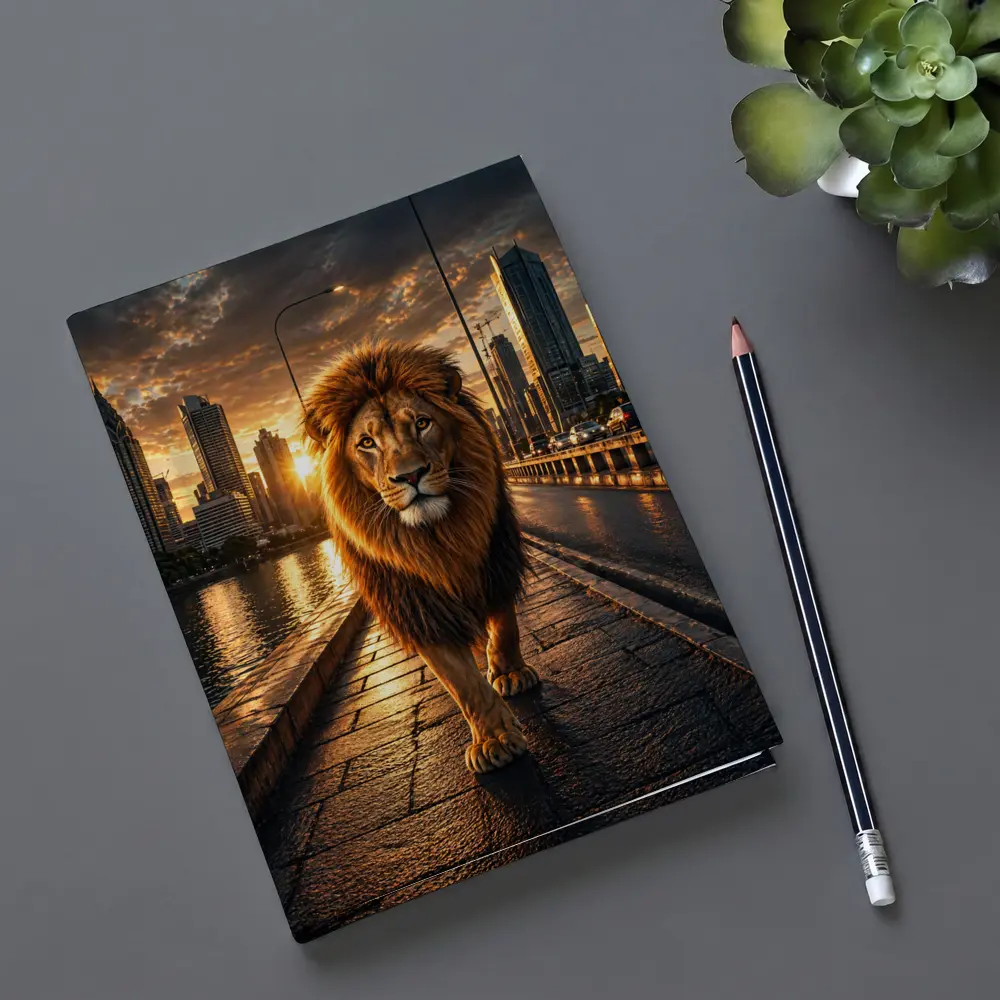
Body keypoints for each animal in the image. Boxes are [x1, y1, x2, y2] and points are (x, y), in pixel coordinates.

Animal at [302, 339, 540, 773]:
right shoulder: (416, 603)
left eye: (422, 423)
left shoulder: (496, 556)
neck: (437, 537)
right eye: (366, 443)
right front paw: (493, 740)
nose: (410, 476)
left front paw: (510, 673)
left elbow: (505, 624)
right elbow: (461, 681)